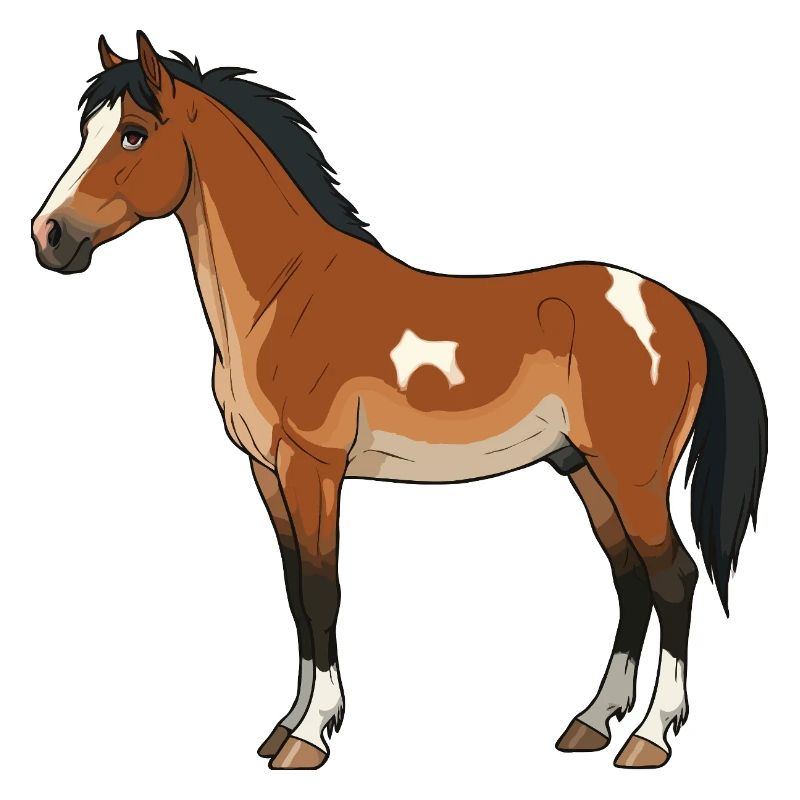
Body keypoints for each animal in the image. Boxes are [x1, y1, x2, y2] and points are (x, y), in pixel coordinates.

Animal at [30, 31, 767, 770]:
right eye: (86, 130)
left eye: (133, 133)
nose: (49, 237)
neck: (286, 298)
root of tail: (676, 306)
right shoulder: (267, 472)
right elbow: (295, 595)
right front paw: (284, 725)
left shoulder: (313, 468)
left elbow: (323, 591)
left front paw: (310, 736)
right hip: (583, 469)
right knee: (629, 578)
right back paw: (590, 723)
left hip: (632, 475)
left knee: (672, 577)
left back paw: (649, 737)